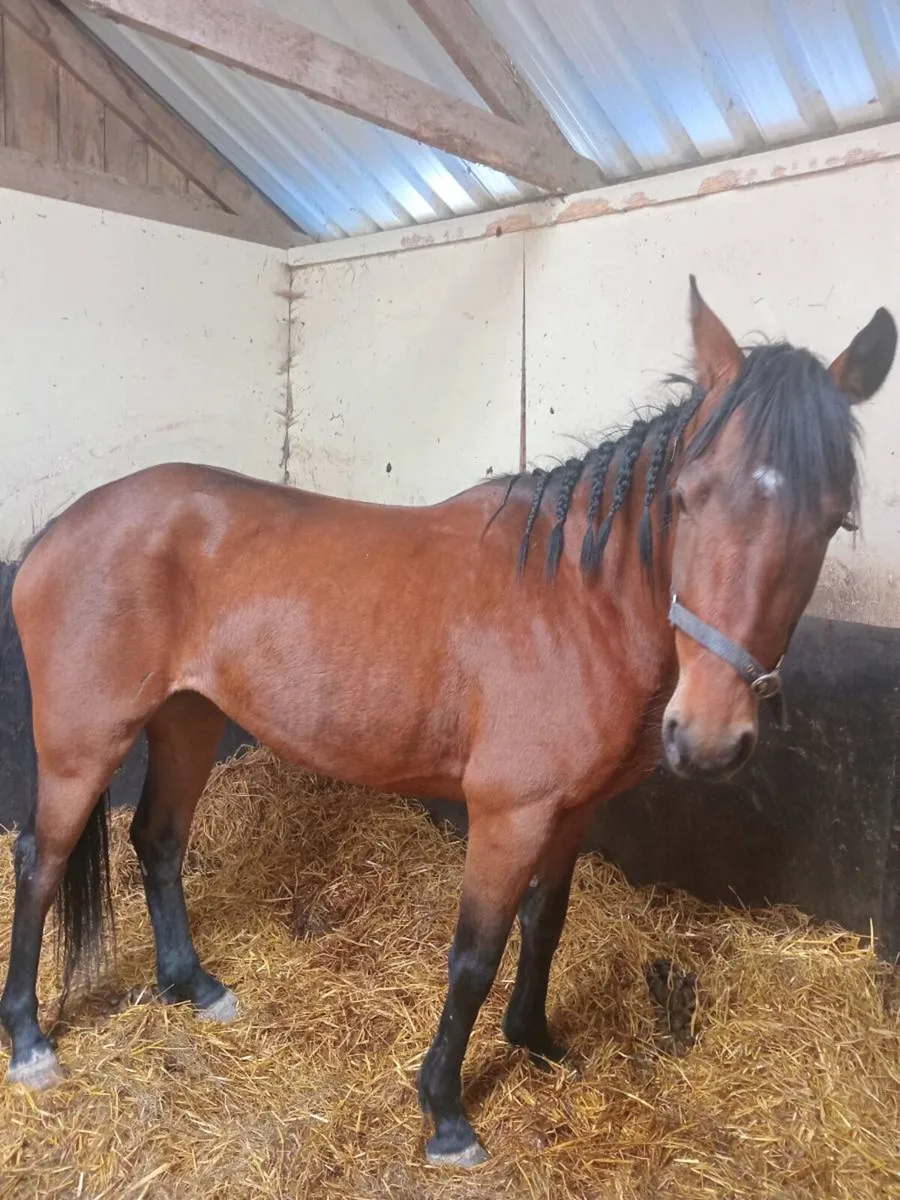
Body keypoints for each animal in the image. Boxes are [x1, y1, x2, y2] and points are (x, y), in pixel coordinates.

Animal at [0, 279, 895, 1167]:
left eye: (833, 519)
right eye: (686, 496)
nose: (707, 738)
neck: (575, 604)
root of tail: (55, 533)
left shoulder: (573, 811)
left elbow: (544, 925)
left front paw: (536, 1040)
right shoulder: (509, 814)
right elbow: (474, 955)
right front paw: (446, 1111)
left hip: (187, 720)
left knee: (157, 841)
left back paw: (195, 986)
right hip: (84, 744)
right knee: (42, 862)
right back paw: (30, 1042)